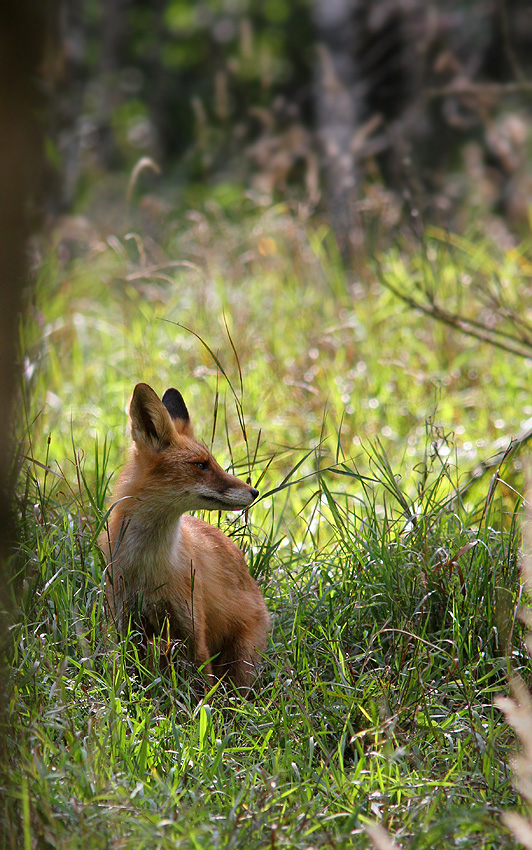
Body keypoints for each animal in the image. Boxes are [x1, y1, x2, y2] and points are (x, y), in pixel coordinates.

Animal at [98, 384, 270, 688]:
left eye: (214, 462)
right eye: (200, 465)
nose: (254, 492)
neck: (148, 565)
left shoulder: (191, 625)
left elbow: (203, 685)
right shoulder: (127, 622)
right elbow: (133, 678)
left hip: (243, 659)